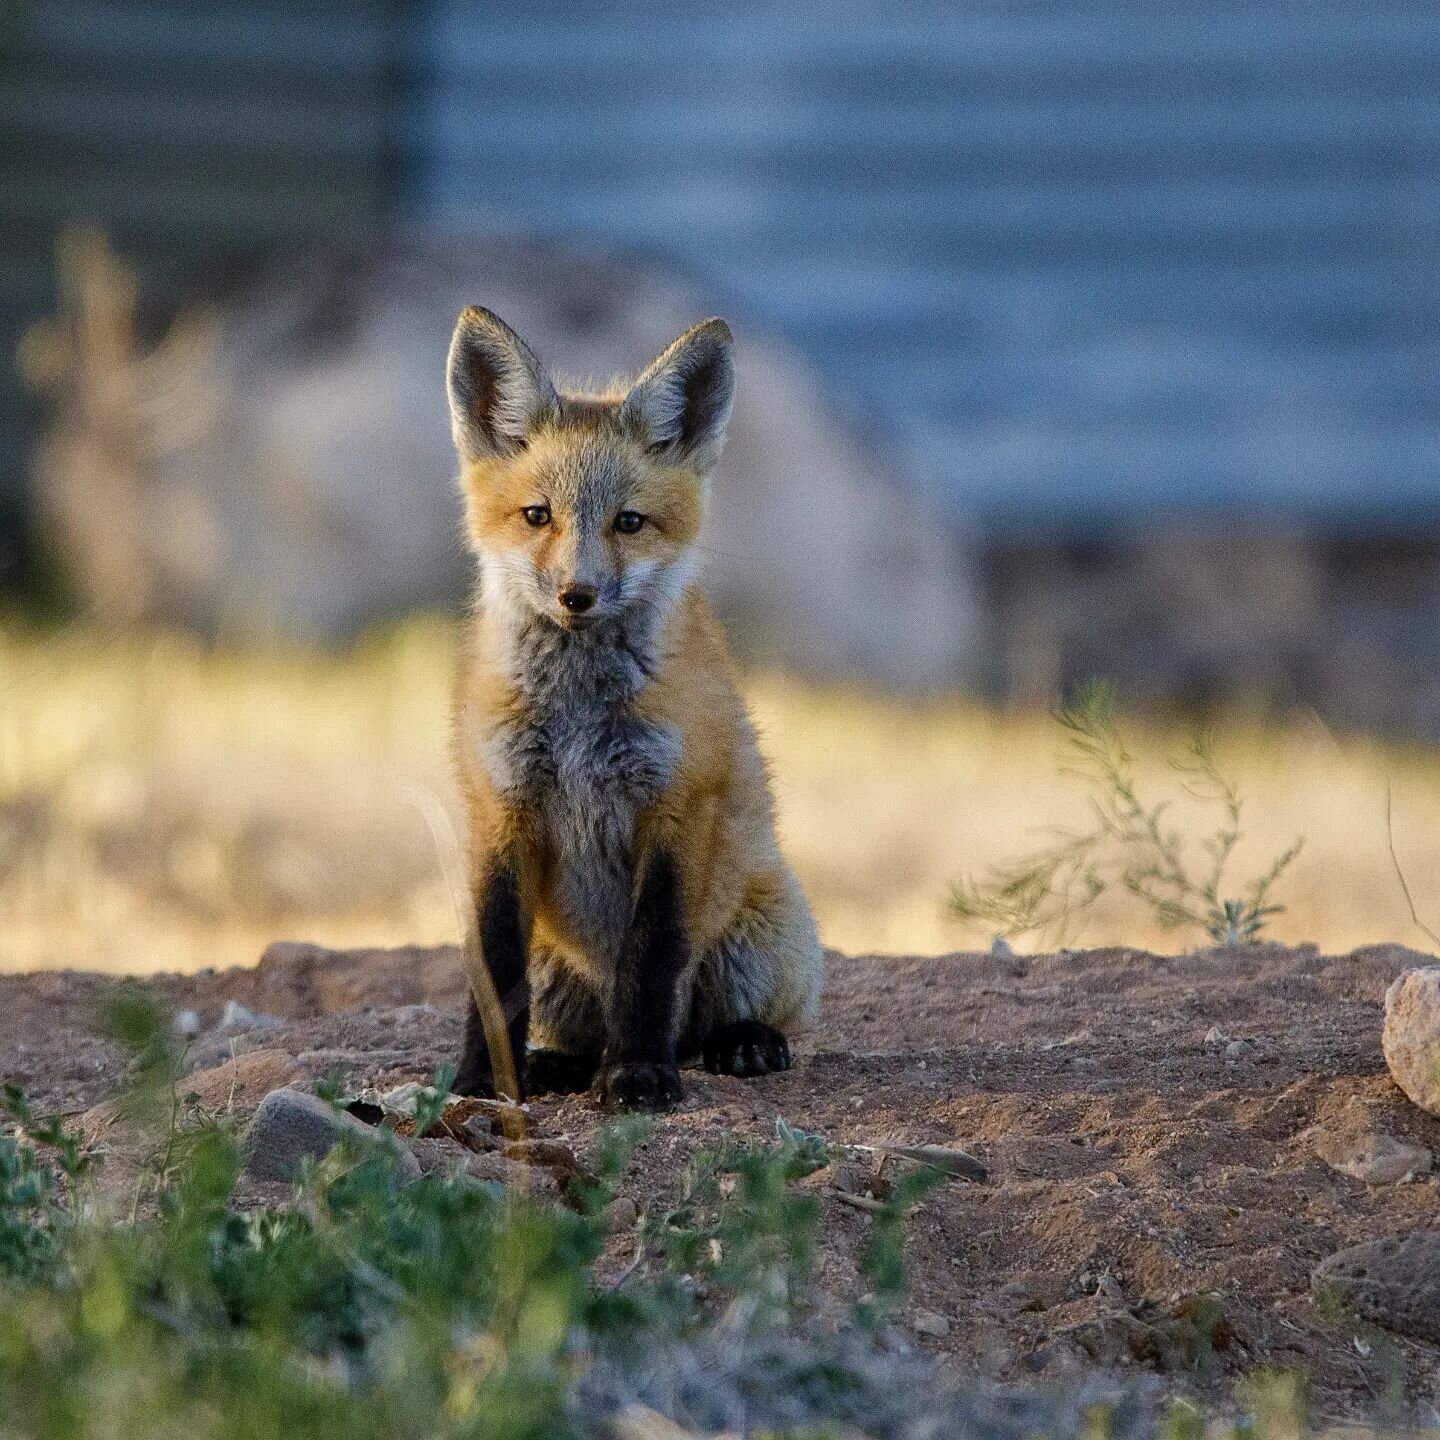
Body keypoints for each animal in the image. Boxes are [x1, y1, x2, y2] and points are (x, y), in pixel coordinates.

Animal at [443, 306, 823, 1111]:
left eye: (629, 522)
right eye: (537, 516)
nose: (576, 595)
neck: (579, 719)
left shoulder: (676, 807)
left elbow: (649, 962)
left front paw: (640, 1076)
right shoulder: (499, 809)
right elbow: (492, 969)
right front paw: (483, 1082)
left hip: (758, 944)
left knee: (717, 1023)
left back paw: (738, 1044)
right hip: (558, 967)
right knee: (579, 1031)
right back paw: (557, 1066)